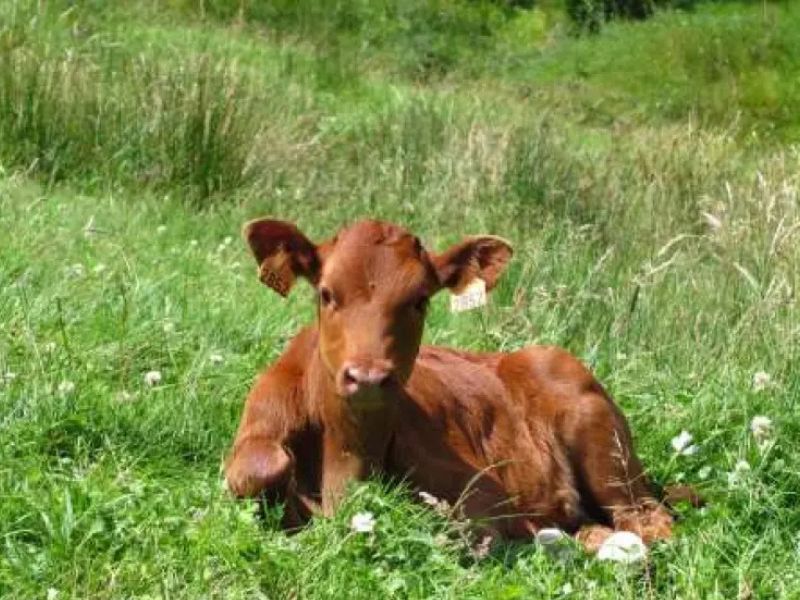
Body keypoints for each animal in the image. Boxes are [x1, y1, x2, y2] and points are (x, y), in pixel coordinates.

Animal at [224, 218, 688, 551]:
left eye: (420, 300)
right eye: (325, 293)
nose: (368, 377)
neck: (346, 457)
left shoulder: (482, 496)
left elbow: (467, 527)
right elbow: (259, 467)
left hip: (604, 449)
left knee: (649, 521)